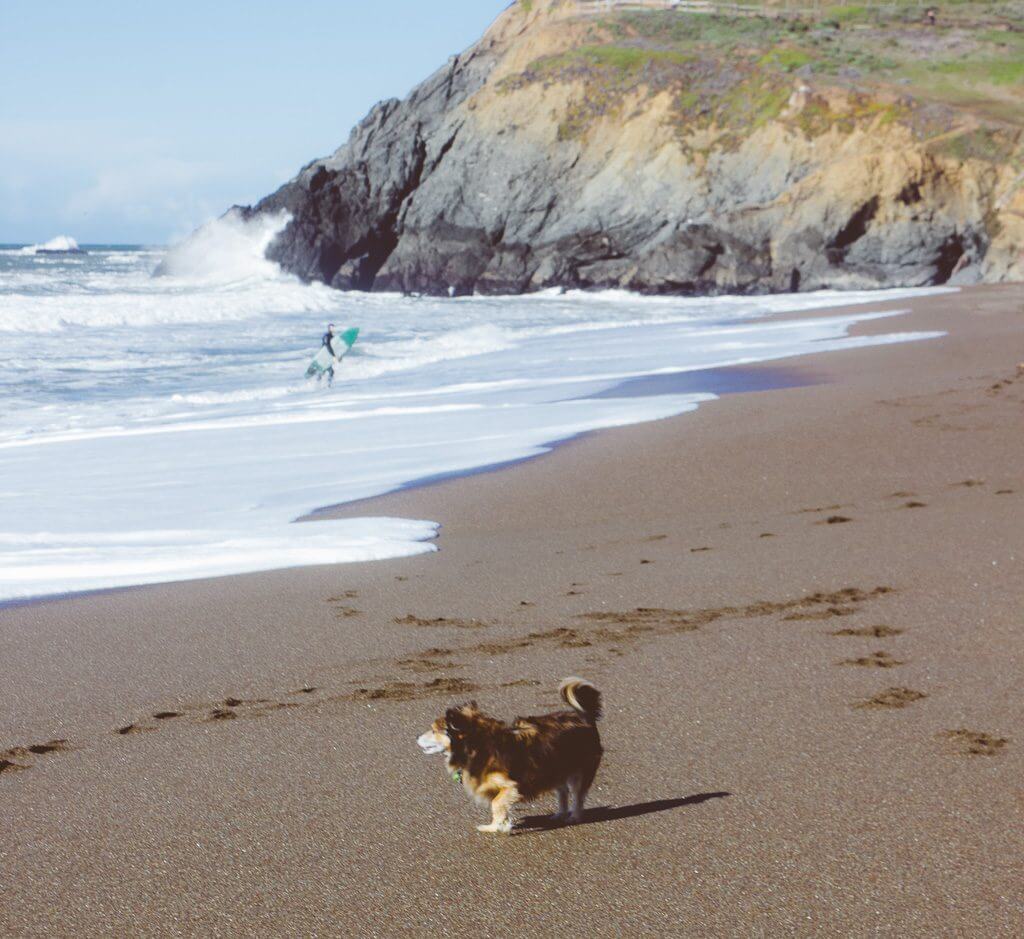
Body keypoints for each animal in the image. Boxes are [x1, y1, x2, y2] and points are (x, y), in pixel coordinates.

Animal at [415, 675, 602, 835]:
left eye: (433, 731)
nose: (415, 737)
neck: (476, 746)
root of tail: (585, 718)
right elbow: (498, 806)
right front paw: (500, 825)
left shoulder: (511, 786)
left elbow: (496, 803)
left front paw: (494, 827)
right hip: (555, 770)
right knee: (563, 792)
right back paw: (560, 814)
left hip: (580, 772)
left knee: (578, 796)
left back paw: (574, 816)